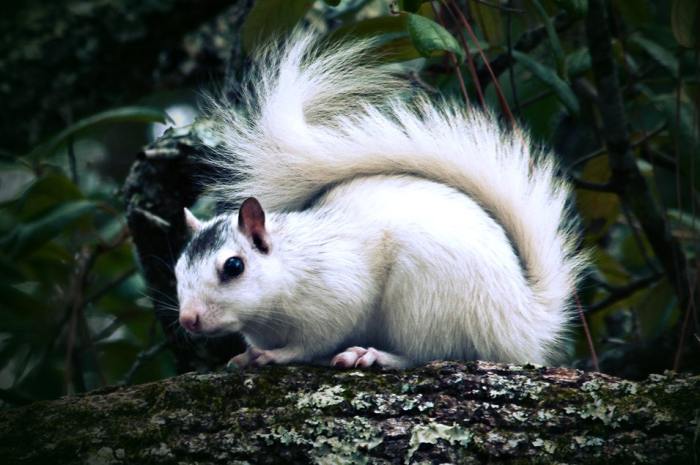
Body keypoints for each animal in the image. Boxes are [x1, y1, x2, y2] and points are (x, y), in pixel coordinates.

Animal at [175, 32, 584, 368]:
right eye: (177, 270)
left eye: (234, 267)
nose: (188, 320)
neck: (294, 263)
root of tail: (521, 325)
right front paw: (245, 356)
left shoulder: (339, 292)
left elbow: (315, 341)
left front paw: (277, 355)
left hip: (423, 301)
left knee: (431, 354)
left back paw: (374, 355)